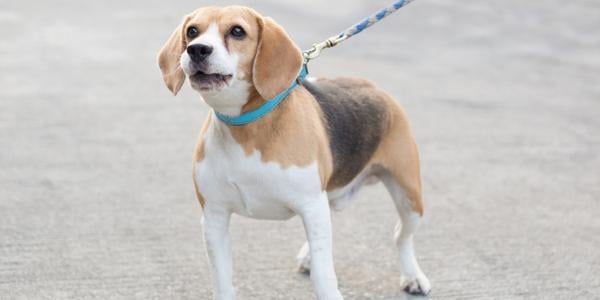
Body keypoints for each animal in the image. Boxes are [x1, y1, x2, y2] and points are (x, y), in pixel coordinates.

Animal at [157, 5, 428, 300]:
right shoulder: (214, 216)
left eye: (237, 31)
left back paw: (413, 277)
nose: (196, 49)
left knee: (400, 235)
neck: (247, 128)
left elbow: (324, 275)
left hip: (409, 197)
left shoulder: (311, 204)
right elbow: (222, 279)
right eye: (192, 31)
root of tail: (374, 87)